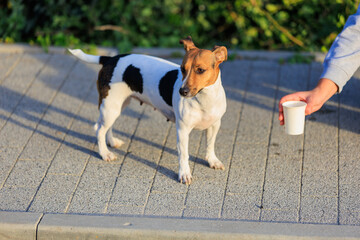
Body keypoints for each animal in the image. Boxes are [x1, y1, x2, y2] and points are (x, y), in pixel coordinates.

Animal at [68, 36, 226, 185]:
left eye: (200, 70)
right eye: (182, 69)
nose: (182, 91)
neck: (204, 99)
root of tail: (111, 59)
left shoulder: (215, 125)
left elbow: (210, 145)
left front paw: (212, 160)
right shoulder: (182, 130)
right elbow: (183, 155)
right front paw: (184, 174)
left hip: (117, 106)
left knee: (105, 127)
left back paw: (112, 142)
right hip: (110, 107)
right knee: (99, 129)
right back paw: (105, 153)